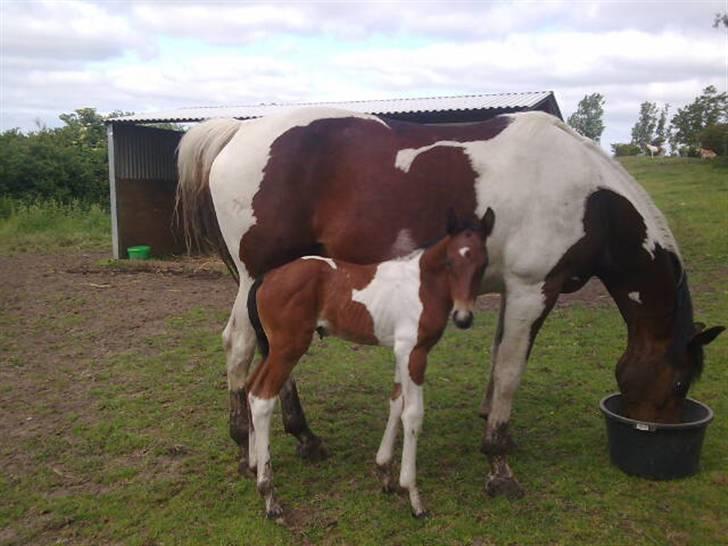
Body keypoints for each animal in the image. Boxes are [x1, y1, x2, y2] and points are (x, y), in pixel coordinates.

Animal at [245, 207, 494, 516]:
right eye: (450, 261)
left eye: (483, 263)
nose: (463, 318)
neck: (421, 285)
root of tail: (267, 277)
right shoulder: (415, 352)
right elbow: (413, 414)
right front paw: (413, 496)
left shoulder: (401, 351)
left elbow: (395, 403)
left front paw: (385, 473)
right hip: (288, 348)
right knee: (262, 398)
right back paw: (269, 495)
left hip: (273, 348)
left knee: (249, 387)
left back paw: (253, 464)